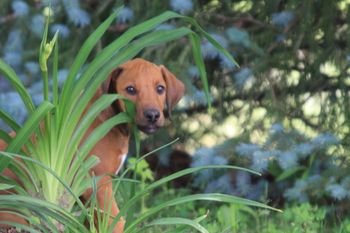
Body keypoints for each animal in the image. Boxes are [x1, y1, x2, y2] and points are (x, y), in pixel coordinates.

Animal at [0, 59, 186, 232]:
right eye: (130, 90)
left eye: (160, 89)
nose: (153, 115)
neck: (110, 117)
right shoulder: (97, 182)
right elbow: (117, 222)